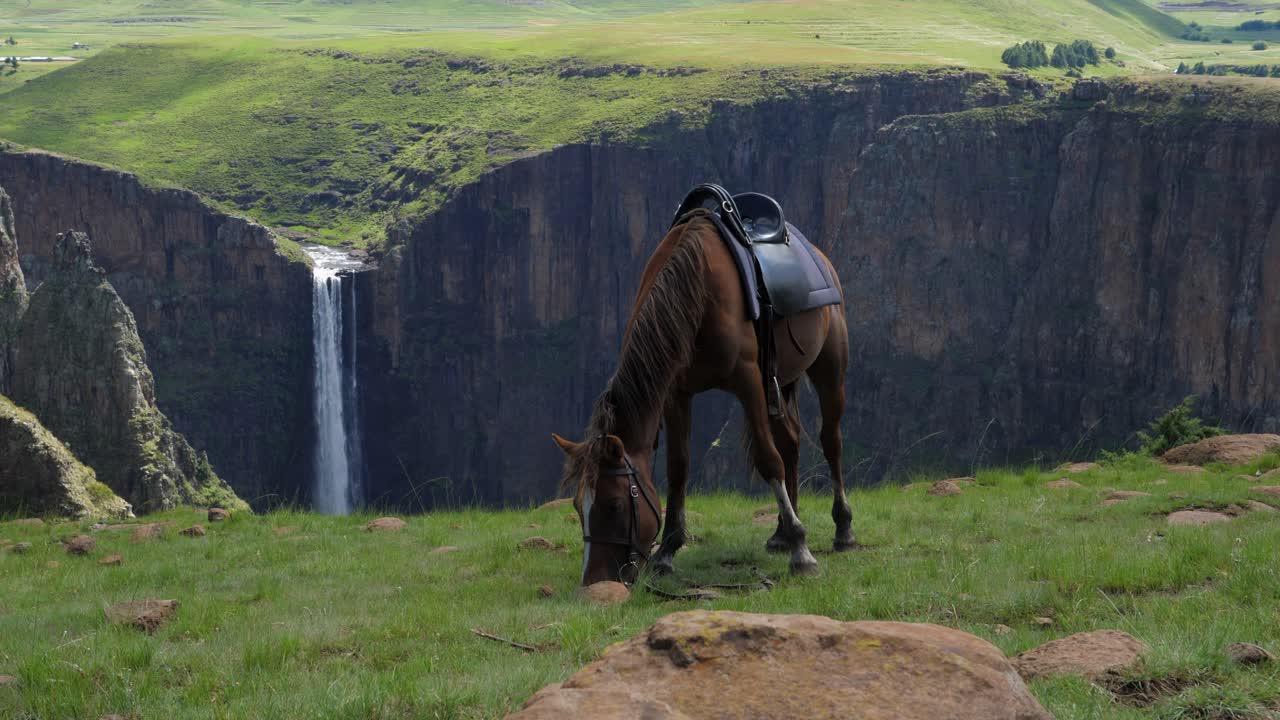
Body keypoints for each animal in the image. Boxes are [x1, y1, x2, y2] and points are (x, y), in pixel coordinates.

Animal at [552, 208, 851, 586]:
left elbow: (769, 460)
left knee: (831, 442)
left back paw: (842, 529)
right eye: (579, 508)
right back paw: (783, 531)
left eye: (615, 505)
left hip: (829, 367)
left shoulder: (750, 381)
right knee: (791, 441)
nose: (595, 580)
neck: (698, 289)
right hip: (782, 379)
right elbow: (678, 468)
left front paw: (802, 552)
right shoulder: (676, 393)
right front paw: (667, 551)